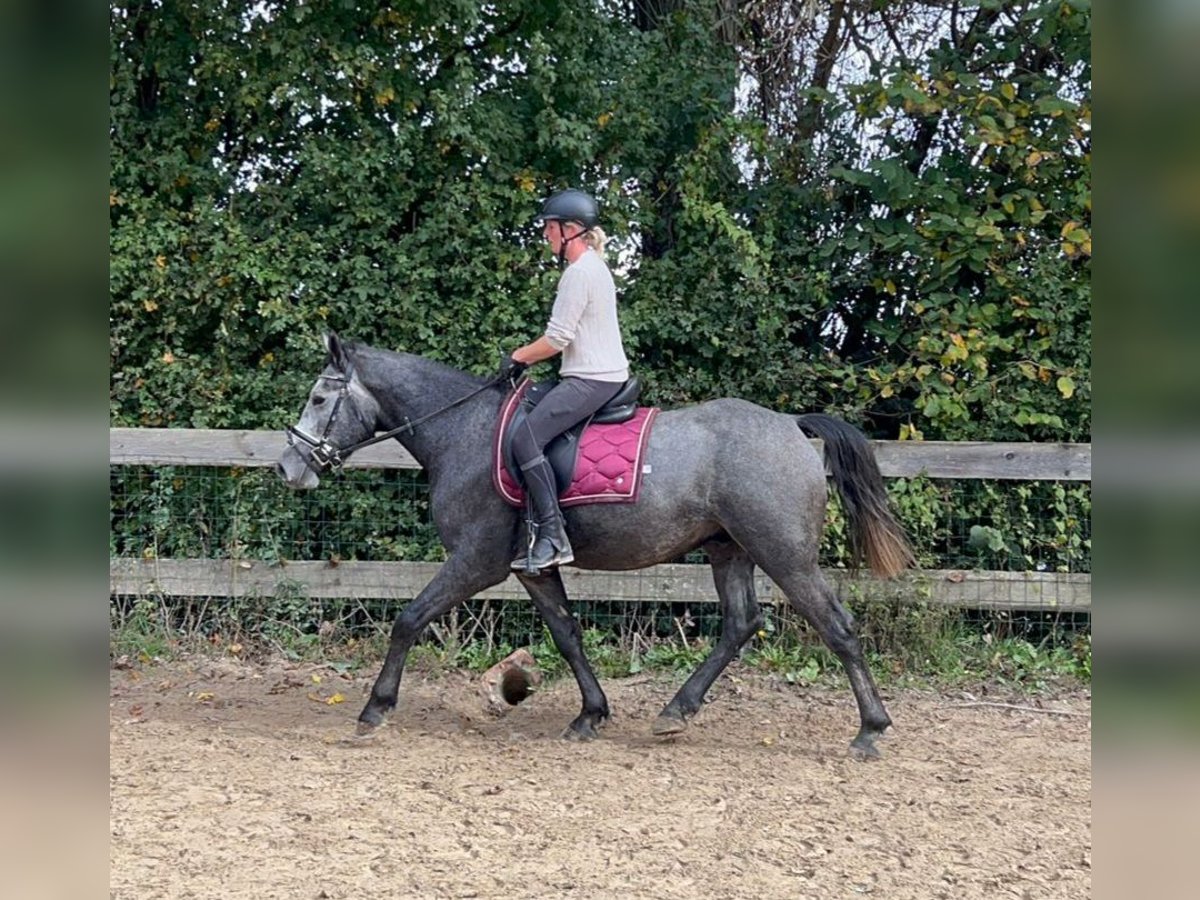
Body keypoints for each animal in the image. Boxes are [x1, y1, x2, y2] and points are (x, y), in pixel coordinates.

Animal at [276, 336, 912, 758]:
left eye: (318, 399)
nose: (288, 467)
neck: (464, 432)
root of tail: (790, 426)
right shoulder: (530, 568)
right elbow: (567, 634)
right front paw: (591, 714)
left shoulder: (476, 562)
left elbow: (409, 619)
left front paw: (375, 709)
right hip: (727, 549)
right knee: (741, 624)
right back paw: (675, 712)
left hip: (784, 553)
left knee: (836, 625)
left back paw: (870, 730)